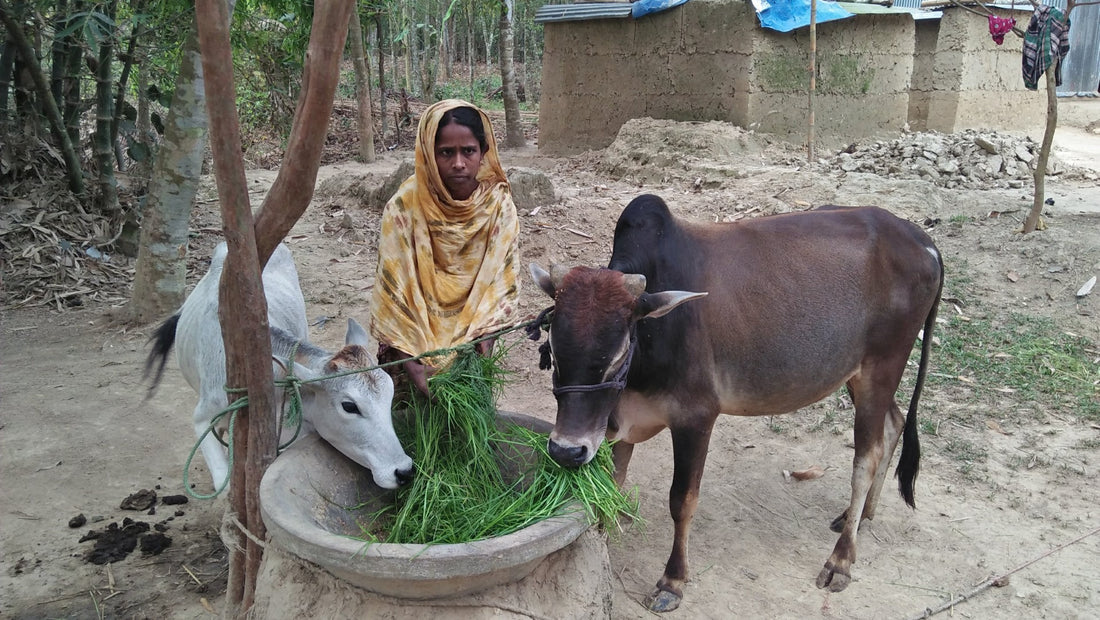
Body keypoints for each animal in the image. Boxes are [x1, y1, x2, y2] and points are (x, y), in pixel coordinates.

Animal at [528, 195, 941, 611]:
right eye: (554, 352)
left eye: (617, 355)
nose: (565, 451)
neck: (653, 336)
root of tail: (922, 240)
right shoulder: (619, 425)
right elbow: (611, 486)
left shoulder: (695, 419)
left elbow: (682, 500)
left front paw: (672, 581)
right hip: (855, 374)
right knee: (893, 424)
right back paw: (860, 516)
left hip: (881, 368)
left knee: (866, 459)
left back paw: (840, 560)